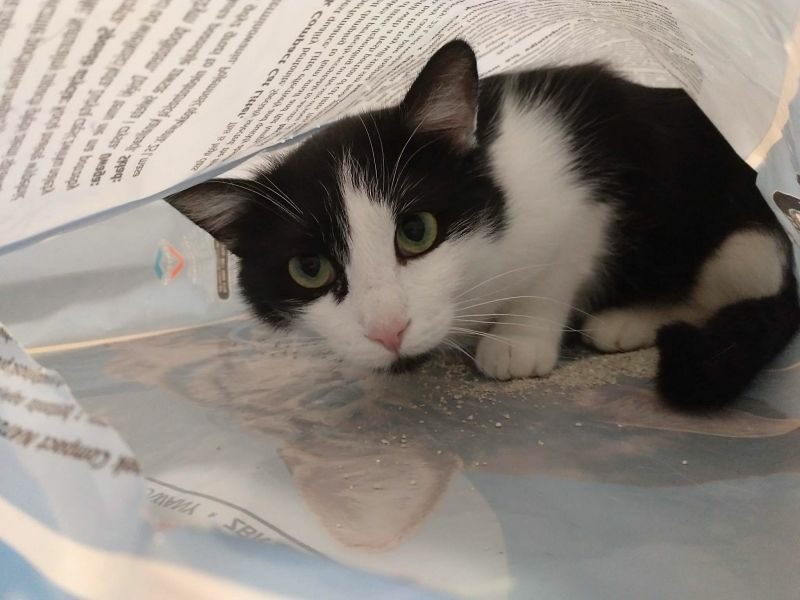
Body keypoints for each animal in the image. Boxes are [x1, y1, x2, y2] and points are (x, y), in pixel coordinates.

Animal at [167, 40, 800, 411]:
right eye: (308, 269)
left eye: (416, 232)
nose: (388, 330)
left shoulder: (580, 195)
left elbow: (559, 268)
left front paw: (517, 340)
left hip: (739, 240)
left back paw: (627, 320)